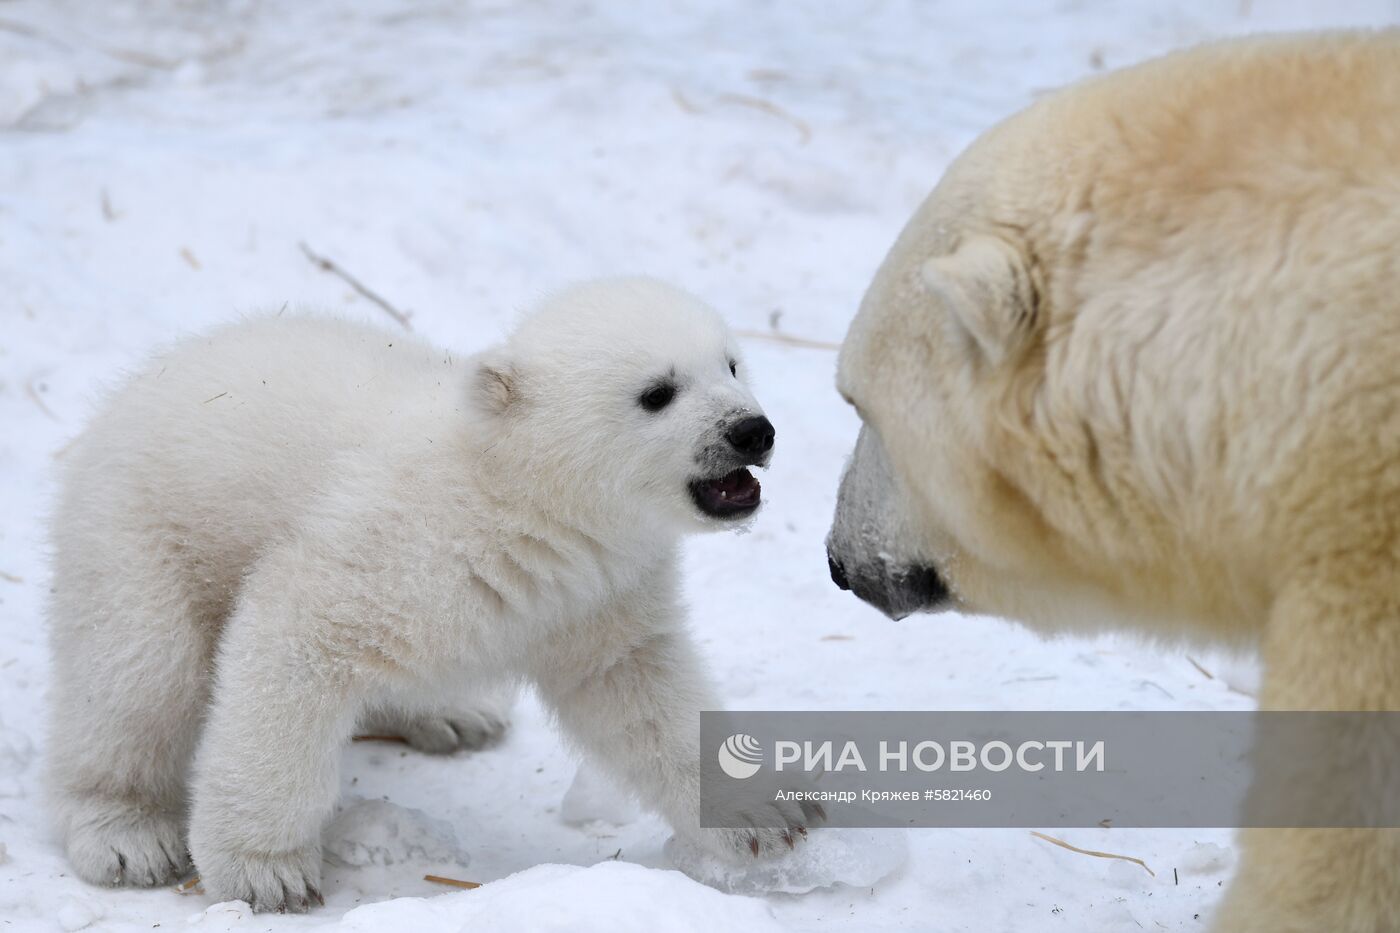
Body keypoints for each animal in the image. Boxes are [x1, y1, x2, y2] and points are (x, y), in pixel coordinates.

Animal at [49, 275, 817, 907]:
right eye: (657, 391)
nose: (753, 430)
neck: (515, 496)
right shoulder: (402, 546)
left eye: (731, 363)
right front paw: (264, 870)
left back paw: (455, 714)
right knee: (139, 677)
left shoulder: (597, 593)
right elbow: (295, 639)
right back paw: (127, 835)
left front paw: (764, 815)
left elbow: (642, 690)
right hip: (141, 531)